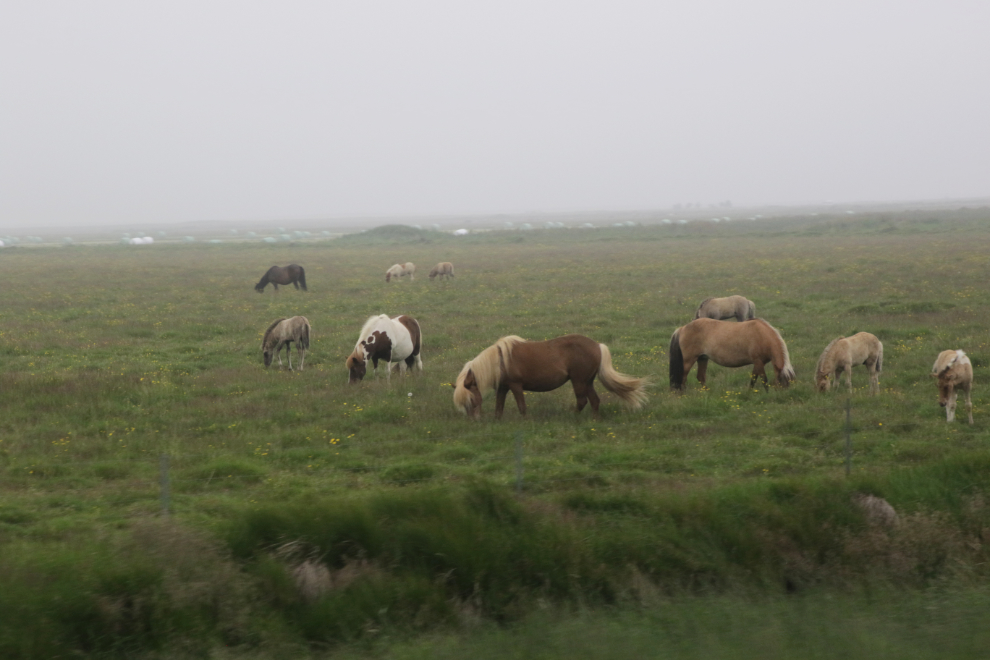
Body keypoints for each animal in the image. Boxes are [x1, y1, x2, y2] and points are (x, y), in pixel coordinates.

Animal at [453, 334, 648, 420]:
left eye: (470, 398)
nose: (474, 420)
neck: (500, 360)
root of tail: (597, 345)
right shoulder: (503, 387)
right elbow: (498, 407)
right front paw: (497, 421)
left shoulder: (516, 386)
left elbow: (521, 406)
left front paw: (524, 421)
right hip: (587, 382)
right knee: (594, 401)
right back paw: (594, 419)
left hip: (578, 381)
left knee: (582, 401)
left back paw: (573, 417)